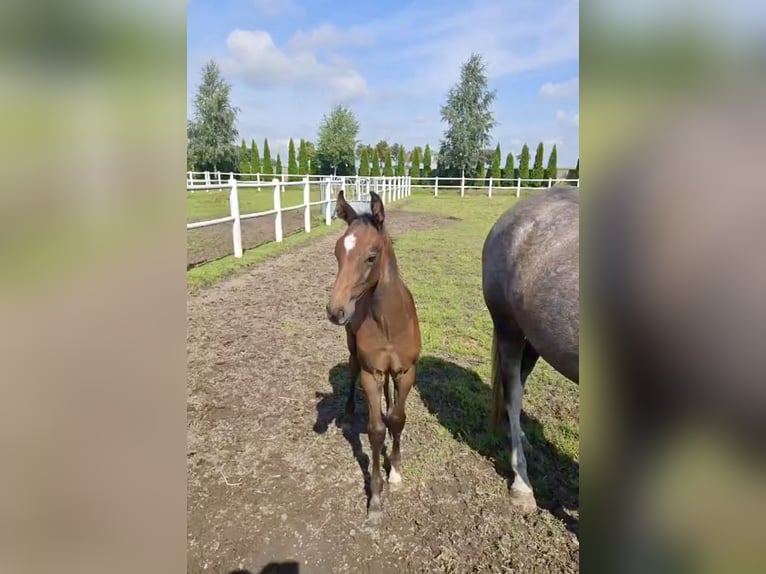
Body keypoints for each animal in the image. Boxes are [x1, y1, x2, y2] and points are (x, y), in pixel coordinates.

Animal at [325, 189, 421, 525]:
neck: (389, 323)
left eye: (371, 256)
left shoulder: (406, 372)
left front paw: (396, 472)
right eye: (337, 253)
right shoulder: (371, 373)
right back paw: (349, 410)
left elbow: (398, 419)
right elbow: (376, 430)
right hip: (354, 351)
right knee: (353, 371)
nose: (335, 310)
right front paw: (376, 499)